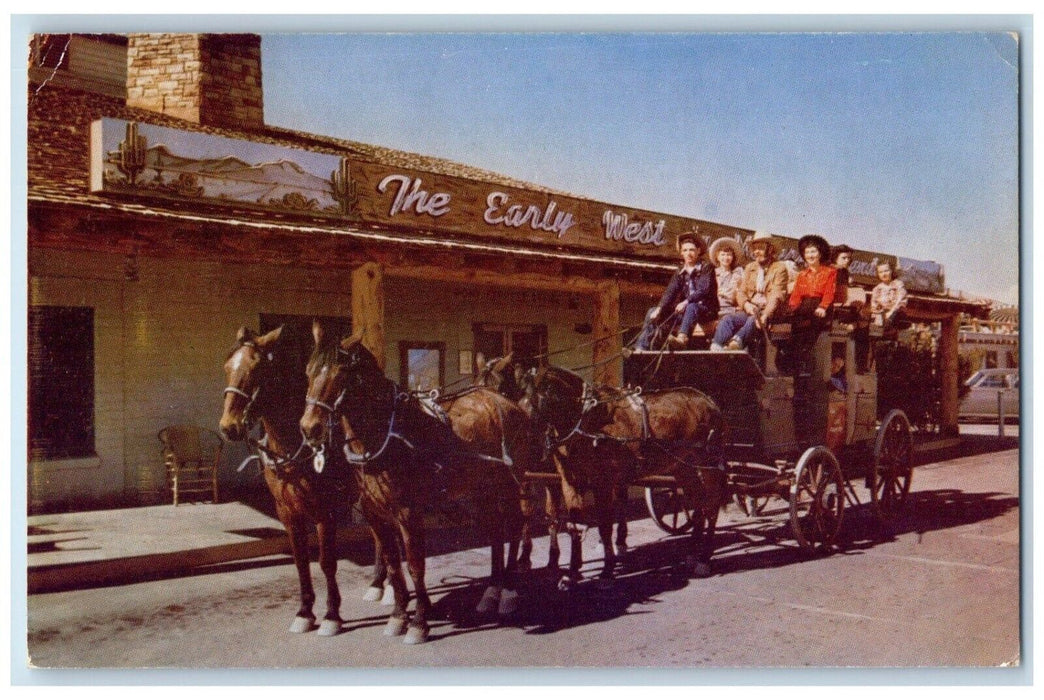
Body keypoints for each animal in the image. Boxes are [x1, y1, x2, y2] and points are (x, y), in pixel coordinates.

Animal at [217, 325, 367, 639]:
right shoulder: (287, 513)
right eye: (227, 366)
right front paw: (305, 613)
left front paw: (332, 615)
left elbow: (327, 561)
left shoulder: (325, 512)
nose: (228, 426)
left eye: (257, 367)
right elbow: (300, 561)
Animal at [300, 328, 530, 647]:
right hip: (483, 488)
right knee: (496, 531)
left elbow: (415, 565)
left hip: (508, 485)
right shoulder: (376, 514)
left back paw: (508, 592)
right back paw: (492, 592)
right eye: (308, 372)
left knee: (513, 526)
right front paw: (398, 616)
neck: (387, 435)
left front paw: (419, 622)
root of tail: (505, 403)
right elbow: (393, 564)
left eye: (340, 373)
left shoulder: (409, 513)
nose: (309, 428)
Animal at [526, 367, 730, 585]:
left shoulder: (603, 483)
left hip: (708, 465)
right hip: (684, 467)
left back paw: (704, 559)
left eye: (537, 398)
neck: (588, 421)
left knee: (711, 507)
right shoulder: (569, 481)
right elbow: (574, 526)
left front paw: (607, 570)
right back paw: (693, 553)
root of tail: (709, 401)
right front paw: (571, 574)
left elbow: (605, 526)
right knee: (699, 504)